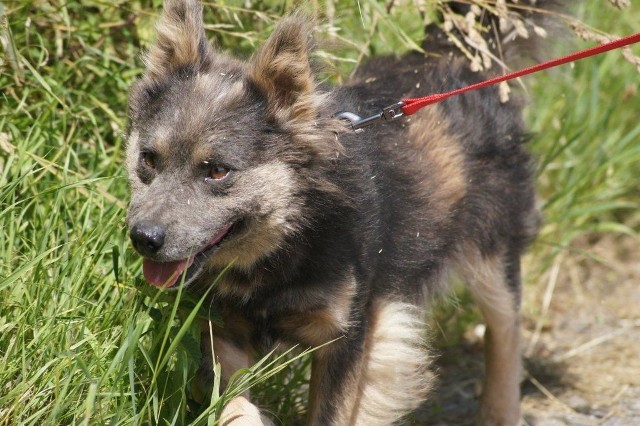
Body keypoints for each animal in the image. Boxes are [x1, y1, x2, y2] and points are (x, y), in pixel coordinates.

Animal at [125, 1, 544, 424]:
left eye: (216, 170)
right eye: (148, 159)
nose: (144, 238)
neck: (287, 241)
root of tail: (460, 59)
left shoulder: (348, 335)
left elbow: (333, 411)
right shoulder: (220, 329)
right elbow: (231, 404)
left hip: (492, 248)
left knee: (506, 328)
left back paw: (499, 409)